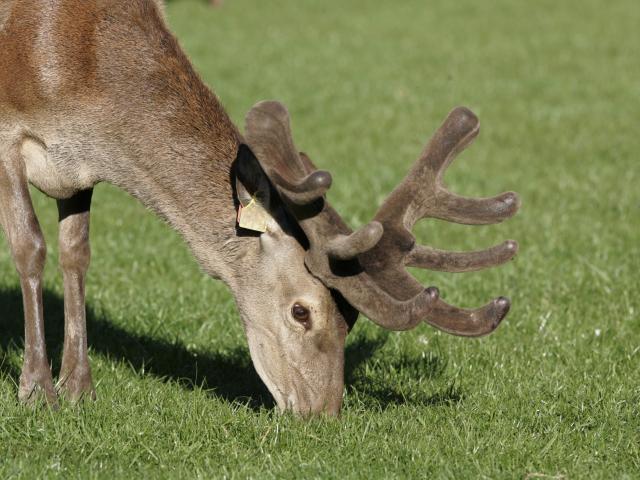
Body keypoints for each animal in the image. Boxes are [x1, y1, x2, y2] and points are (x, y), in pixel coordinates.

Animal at [0, 0, 520, 414]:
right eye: (301, 312)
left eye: (350, 319)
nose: (323, 413)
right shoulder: (8, 135)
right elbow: (31, 247)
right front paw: (36, 390)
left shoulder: (77, 170)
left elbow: (76, 255)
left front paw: (79, 388)